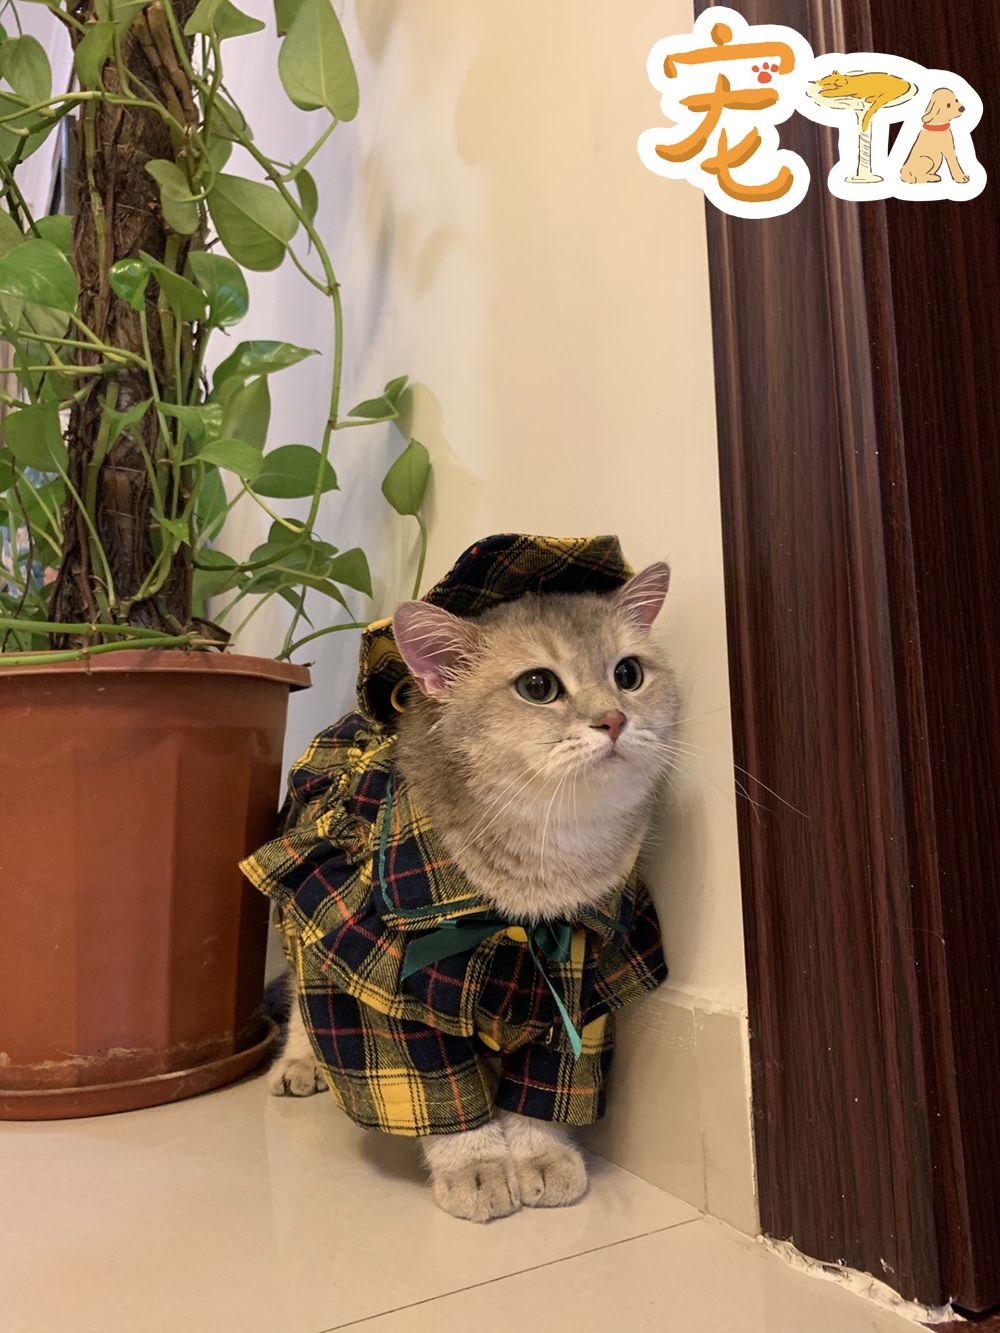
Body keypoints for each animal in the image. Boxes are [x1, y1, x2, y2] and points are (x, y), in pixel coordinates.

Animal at [266, 555, 678, 1221]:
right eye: (538, 686)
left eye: (629, 674)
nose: (615, 718)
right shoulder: (383, 983)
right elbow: (433, 1092)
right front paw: (477, 1168)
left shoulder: (579, 978)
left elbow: (546, 1089)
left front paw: (540, 1155)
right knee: (304, 1005)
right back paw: (299, 1063)